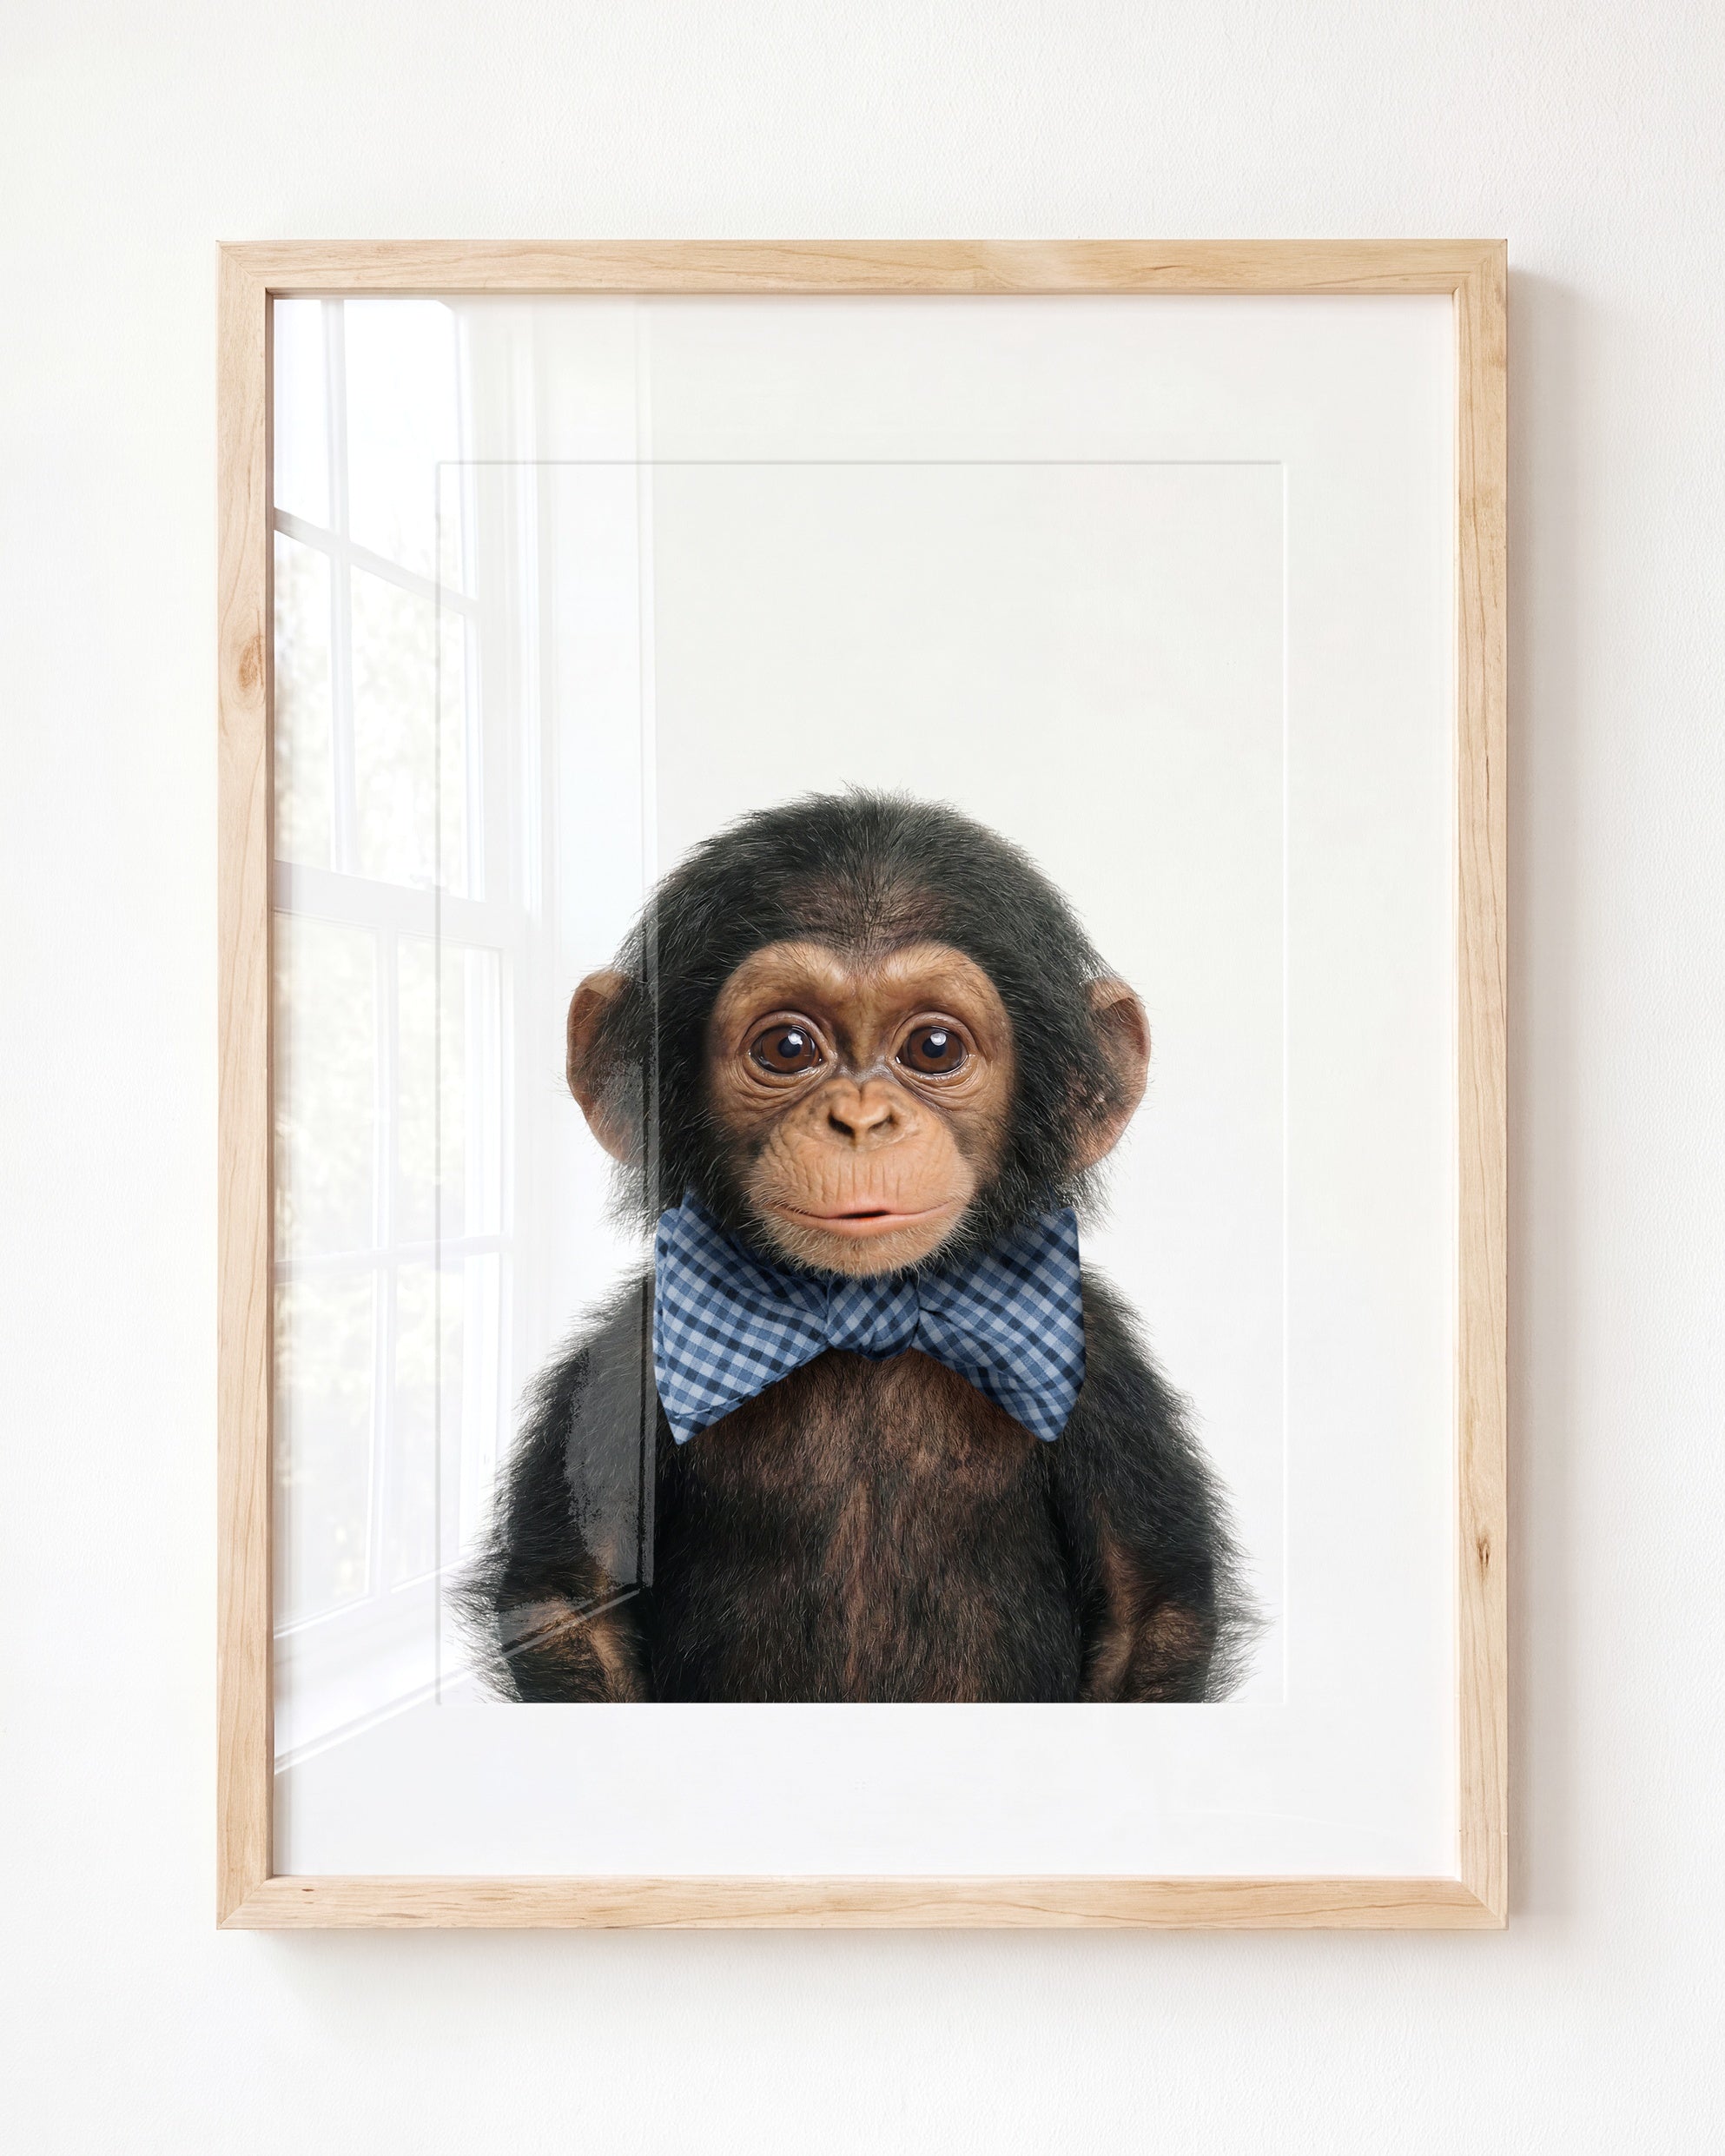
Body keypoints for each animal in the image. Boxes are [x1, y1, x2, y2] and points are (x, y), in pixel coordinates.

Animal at [458, 791, 1256, 1703]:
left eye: (934, 1048)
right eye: (787, 1047)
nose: (862, 1119)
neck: (864, 1314)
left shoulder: (1103, 1368)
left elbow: (1148, 1609)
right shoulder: (628, 1356)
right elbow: (570, 1601)